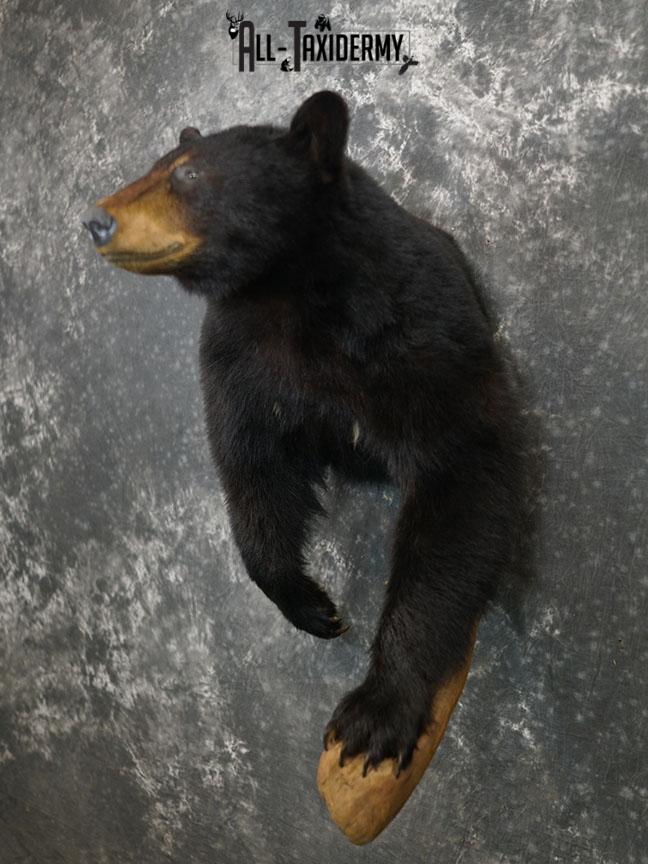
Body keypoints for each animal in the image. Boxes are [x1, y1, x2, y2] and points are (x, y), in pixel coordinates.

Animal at [82, 91, 524, 775]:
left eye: (188, 174)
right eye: (154, 167)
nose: (95, 221)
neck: (288, 293)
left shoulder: (412, 331)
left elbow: (459, 469)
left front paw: (376, 714)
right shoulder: (240, 356)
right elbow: (254, 468)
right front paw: (313, 604)